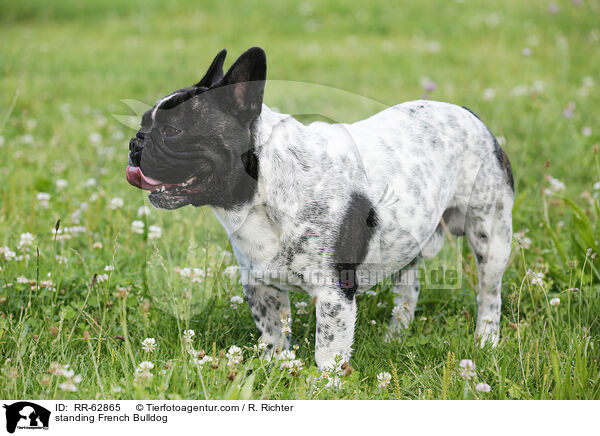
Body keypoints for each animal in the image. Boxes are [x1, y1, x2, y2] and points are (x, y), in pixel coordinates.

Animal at [125, 46, 510, 368]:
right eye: (144, 122)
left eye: (172, 131)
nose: (135, 142)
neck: (262, 189)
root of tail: (470, 115)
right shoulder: (260, 286)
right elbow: (273, 333)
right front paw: (273, 368)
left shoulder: (333, 293)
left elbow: (329, 348)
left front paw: (325, 385)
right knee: (408, 288)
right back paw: (396, 335)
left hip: (491, 237)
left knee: (490, 294)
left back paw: (486, 341)